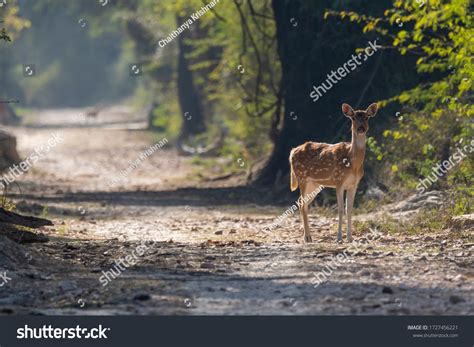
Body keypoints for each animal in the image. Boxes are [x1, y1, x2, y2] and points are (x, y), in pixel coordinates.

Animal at [288, 103, 378, 243]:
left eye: (367, 117)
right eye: (353, 118)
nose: (361, 128)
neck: (352, 164)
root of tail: (292, 151)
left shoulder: (354, 184)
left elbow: (349, 209)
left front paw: (350, 238)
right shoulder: (338, 181)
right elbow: (340, 209)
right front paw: (339, 238)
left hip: (315, 185)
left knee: (302, 203)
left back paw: (307, 236)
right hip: (302, 177)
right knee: (302, 204)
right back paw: (307, 237)